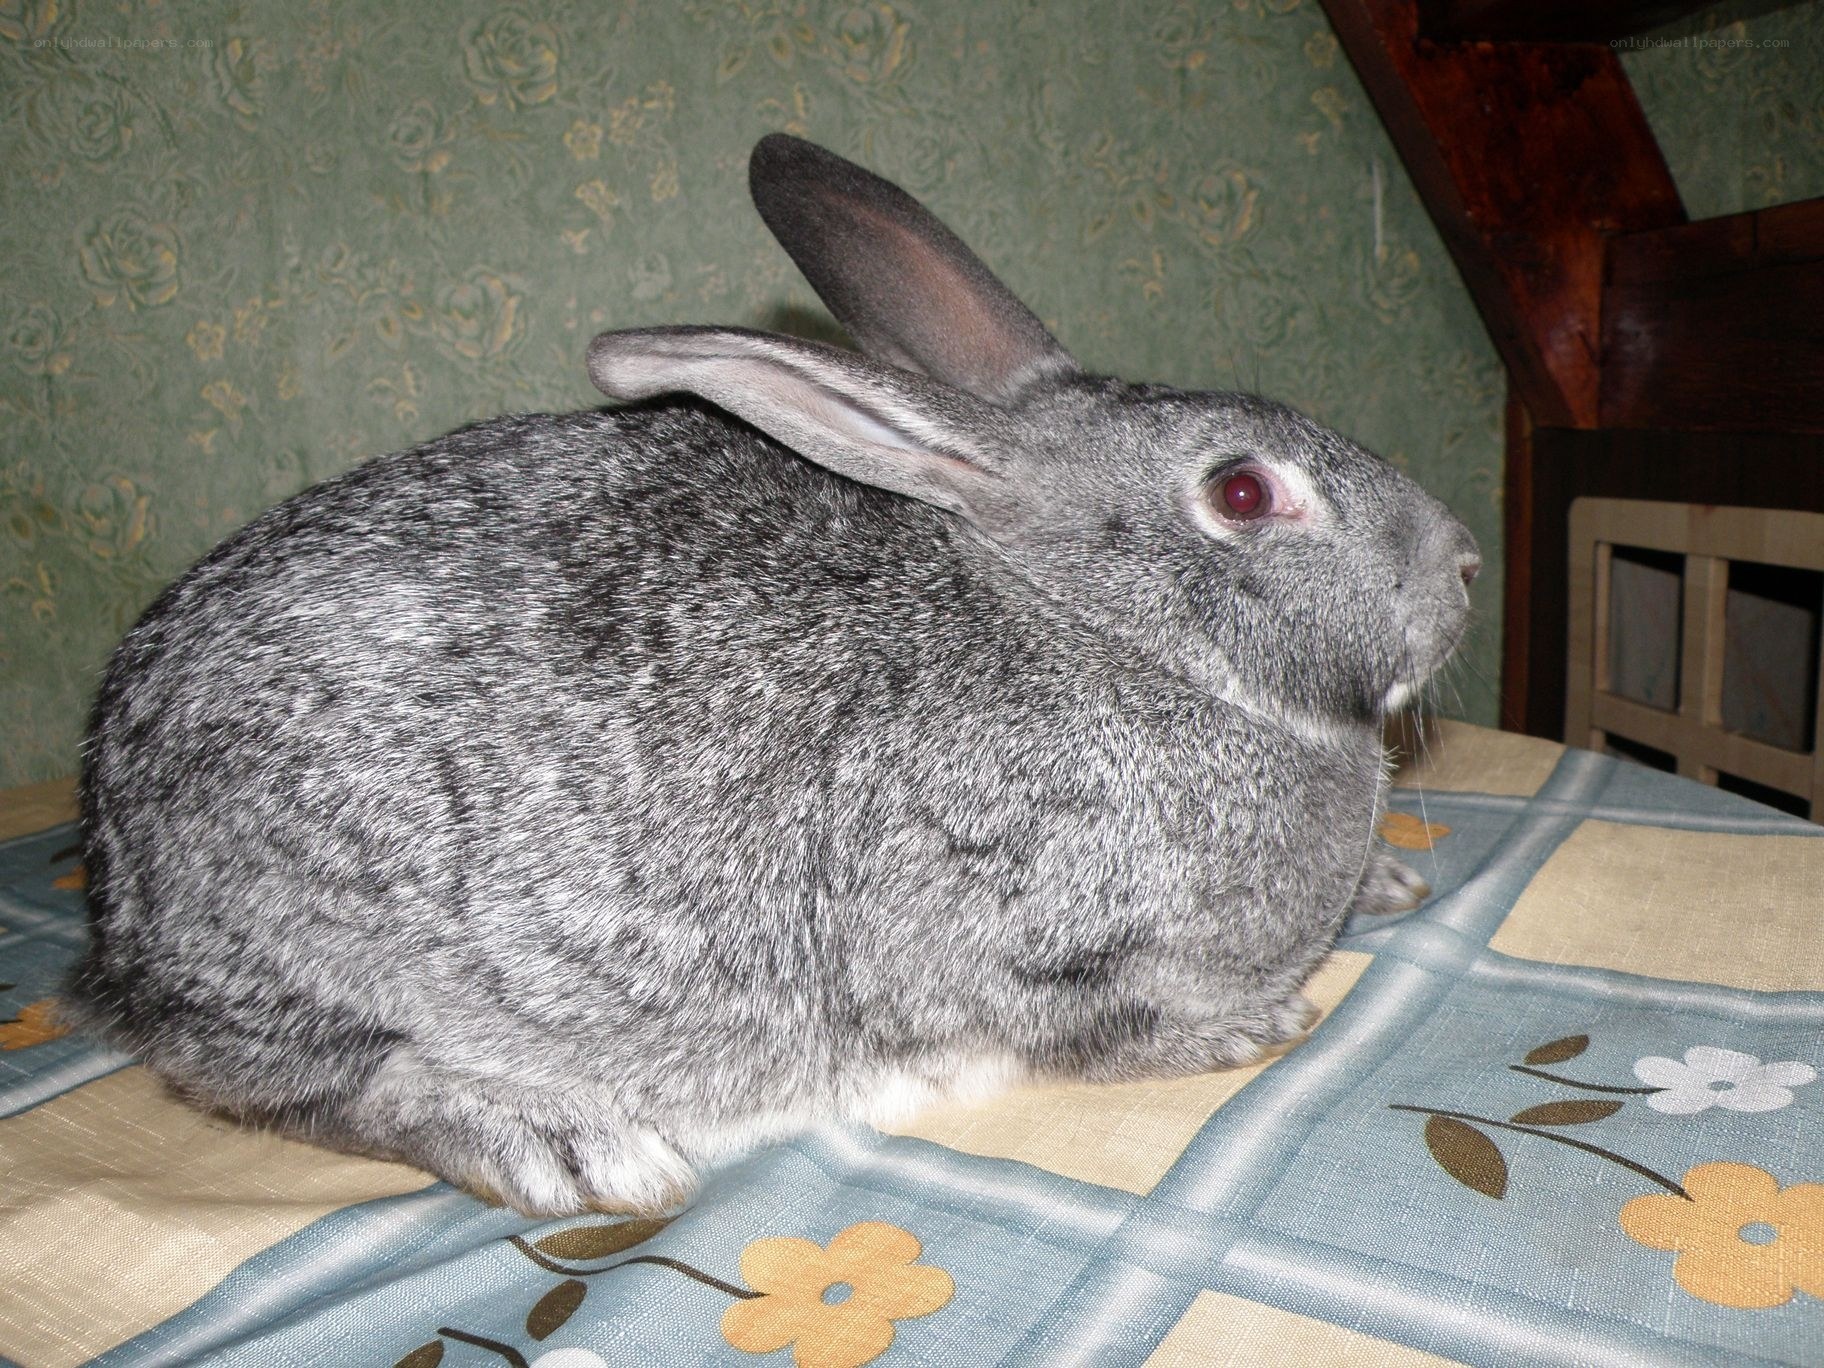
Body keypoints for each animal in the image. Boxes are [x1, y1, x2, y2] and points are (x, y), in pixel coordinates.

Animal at [66, 133, 1479, 1217]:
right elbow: (1081, 1023)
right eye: (1242, 493)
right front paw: (1252, 1027)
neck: (1104, 627)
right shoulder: (990, 936)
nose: (1463, 564)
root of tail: (114, 885)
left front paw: (1391, 883)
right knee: (308, 1085)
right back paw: (564, 1146)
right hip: (306, 953)